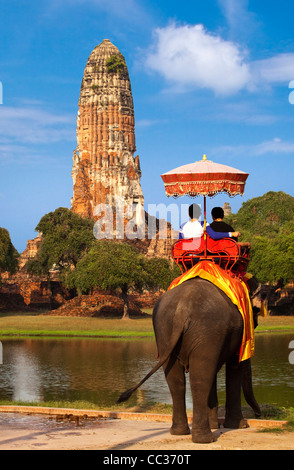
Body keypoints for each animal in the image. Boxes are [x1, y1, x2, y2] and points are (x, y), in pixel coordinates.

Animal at [118, 278, 260, 442]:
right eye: (255, 312)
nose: (258, 414)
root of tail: (182, 309)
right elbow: (234, 366)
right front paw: (239, 426)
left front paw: (218, 425)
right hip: (206, 330)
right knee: (201, 376)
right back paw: (204, 439)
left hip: (165, 330)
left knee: (176, 379)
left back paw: (180, 432)